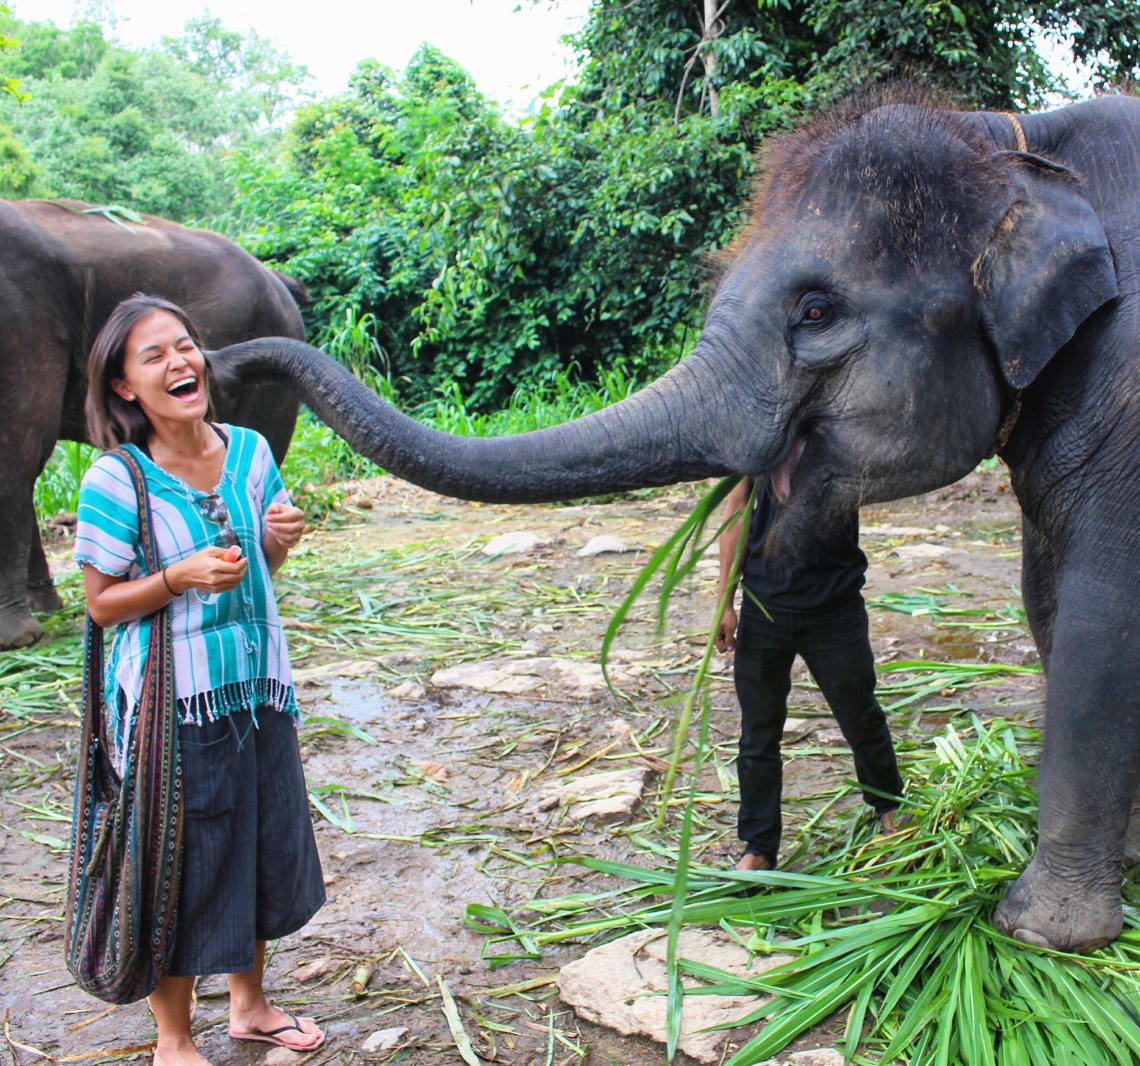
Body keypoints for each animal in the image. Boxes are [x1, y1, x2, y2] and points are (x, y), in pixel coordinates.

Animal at [209, 91, 1135, 948]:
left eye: (817, 312)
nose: (218, 364)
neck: (1011, 142)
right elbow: (1045, 599)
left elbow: (1099, 617)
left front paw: (1037, 933)